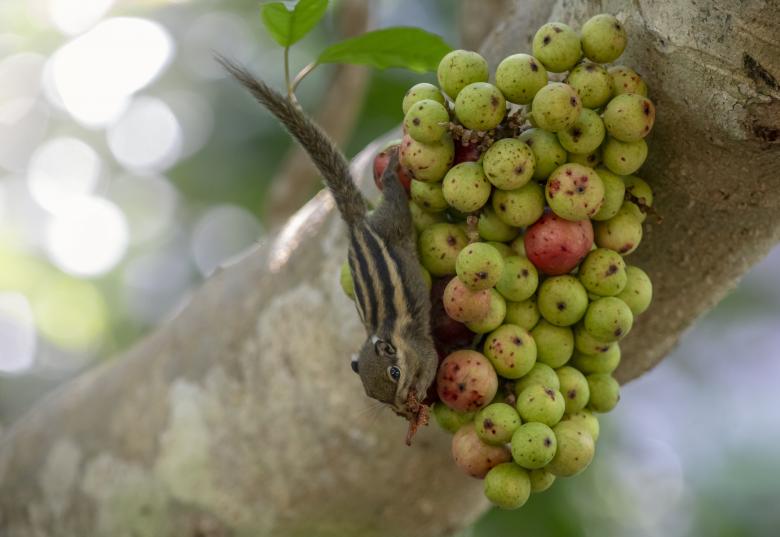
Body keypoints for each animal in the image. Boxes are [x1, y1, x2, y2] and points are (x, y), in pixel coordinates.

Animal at [218, 57, 438, 437]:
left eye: (394, 374)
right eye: (374, 396)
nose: (398, 406)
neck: (385, 334)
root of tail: (357, 225)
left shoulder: (422, 347)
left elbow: (433, 361)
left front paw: (421, 388)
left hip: (395, 219)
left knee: (394, 194)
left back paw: (393, 167)